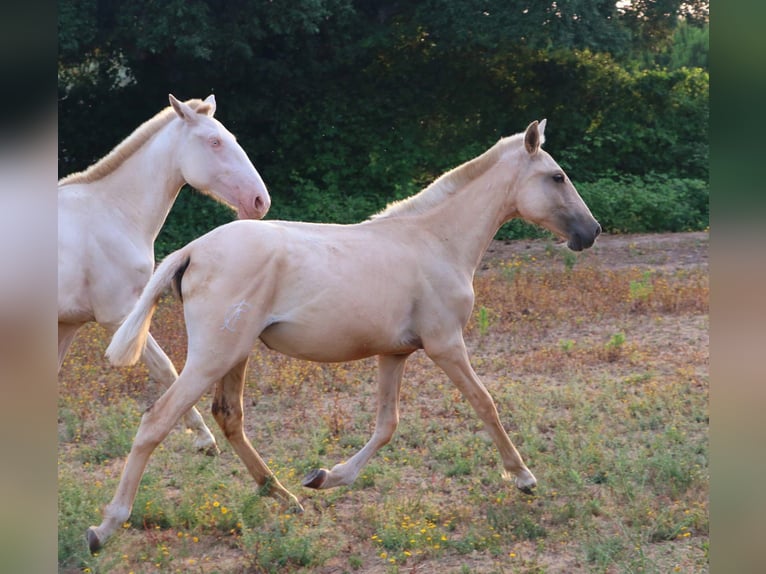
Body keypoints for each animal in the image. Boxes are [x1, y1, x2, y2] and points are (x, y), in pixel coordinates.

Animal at [58, 94, 271, 455]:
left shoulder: (67, 326)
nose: (259, 201)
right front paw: (204, 438)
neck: (112, 212)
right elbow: (166, 369)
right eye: (214, 142)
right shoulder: (118, 316)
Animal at [87, 119, 600, 551]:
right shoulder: (445, 344)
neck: (435, 241)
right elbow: (484, 402)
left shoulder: (395, 354)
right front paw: (524, 477)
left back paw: (284, 495)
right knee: (157, 421)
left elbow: (386, 425)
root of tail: (193, 249)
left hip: (235, 354)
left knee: (229, 417)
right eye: (557, 177)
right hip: (213, 356)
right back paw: (106, 526)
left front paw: (323, 477)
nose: (591, 232)